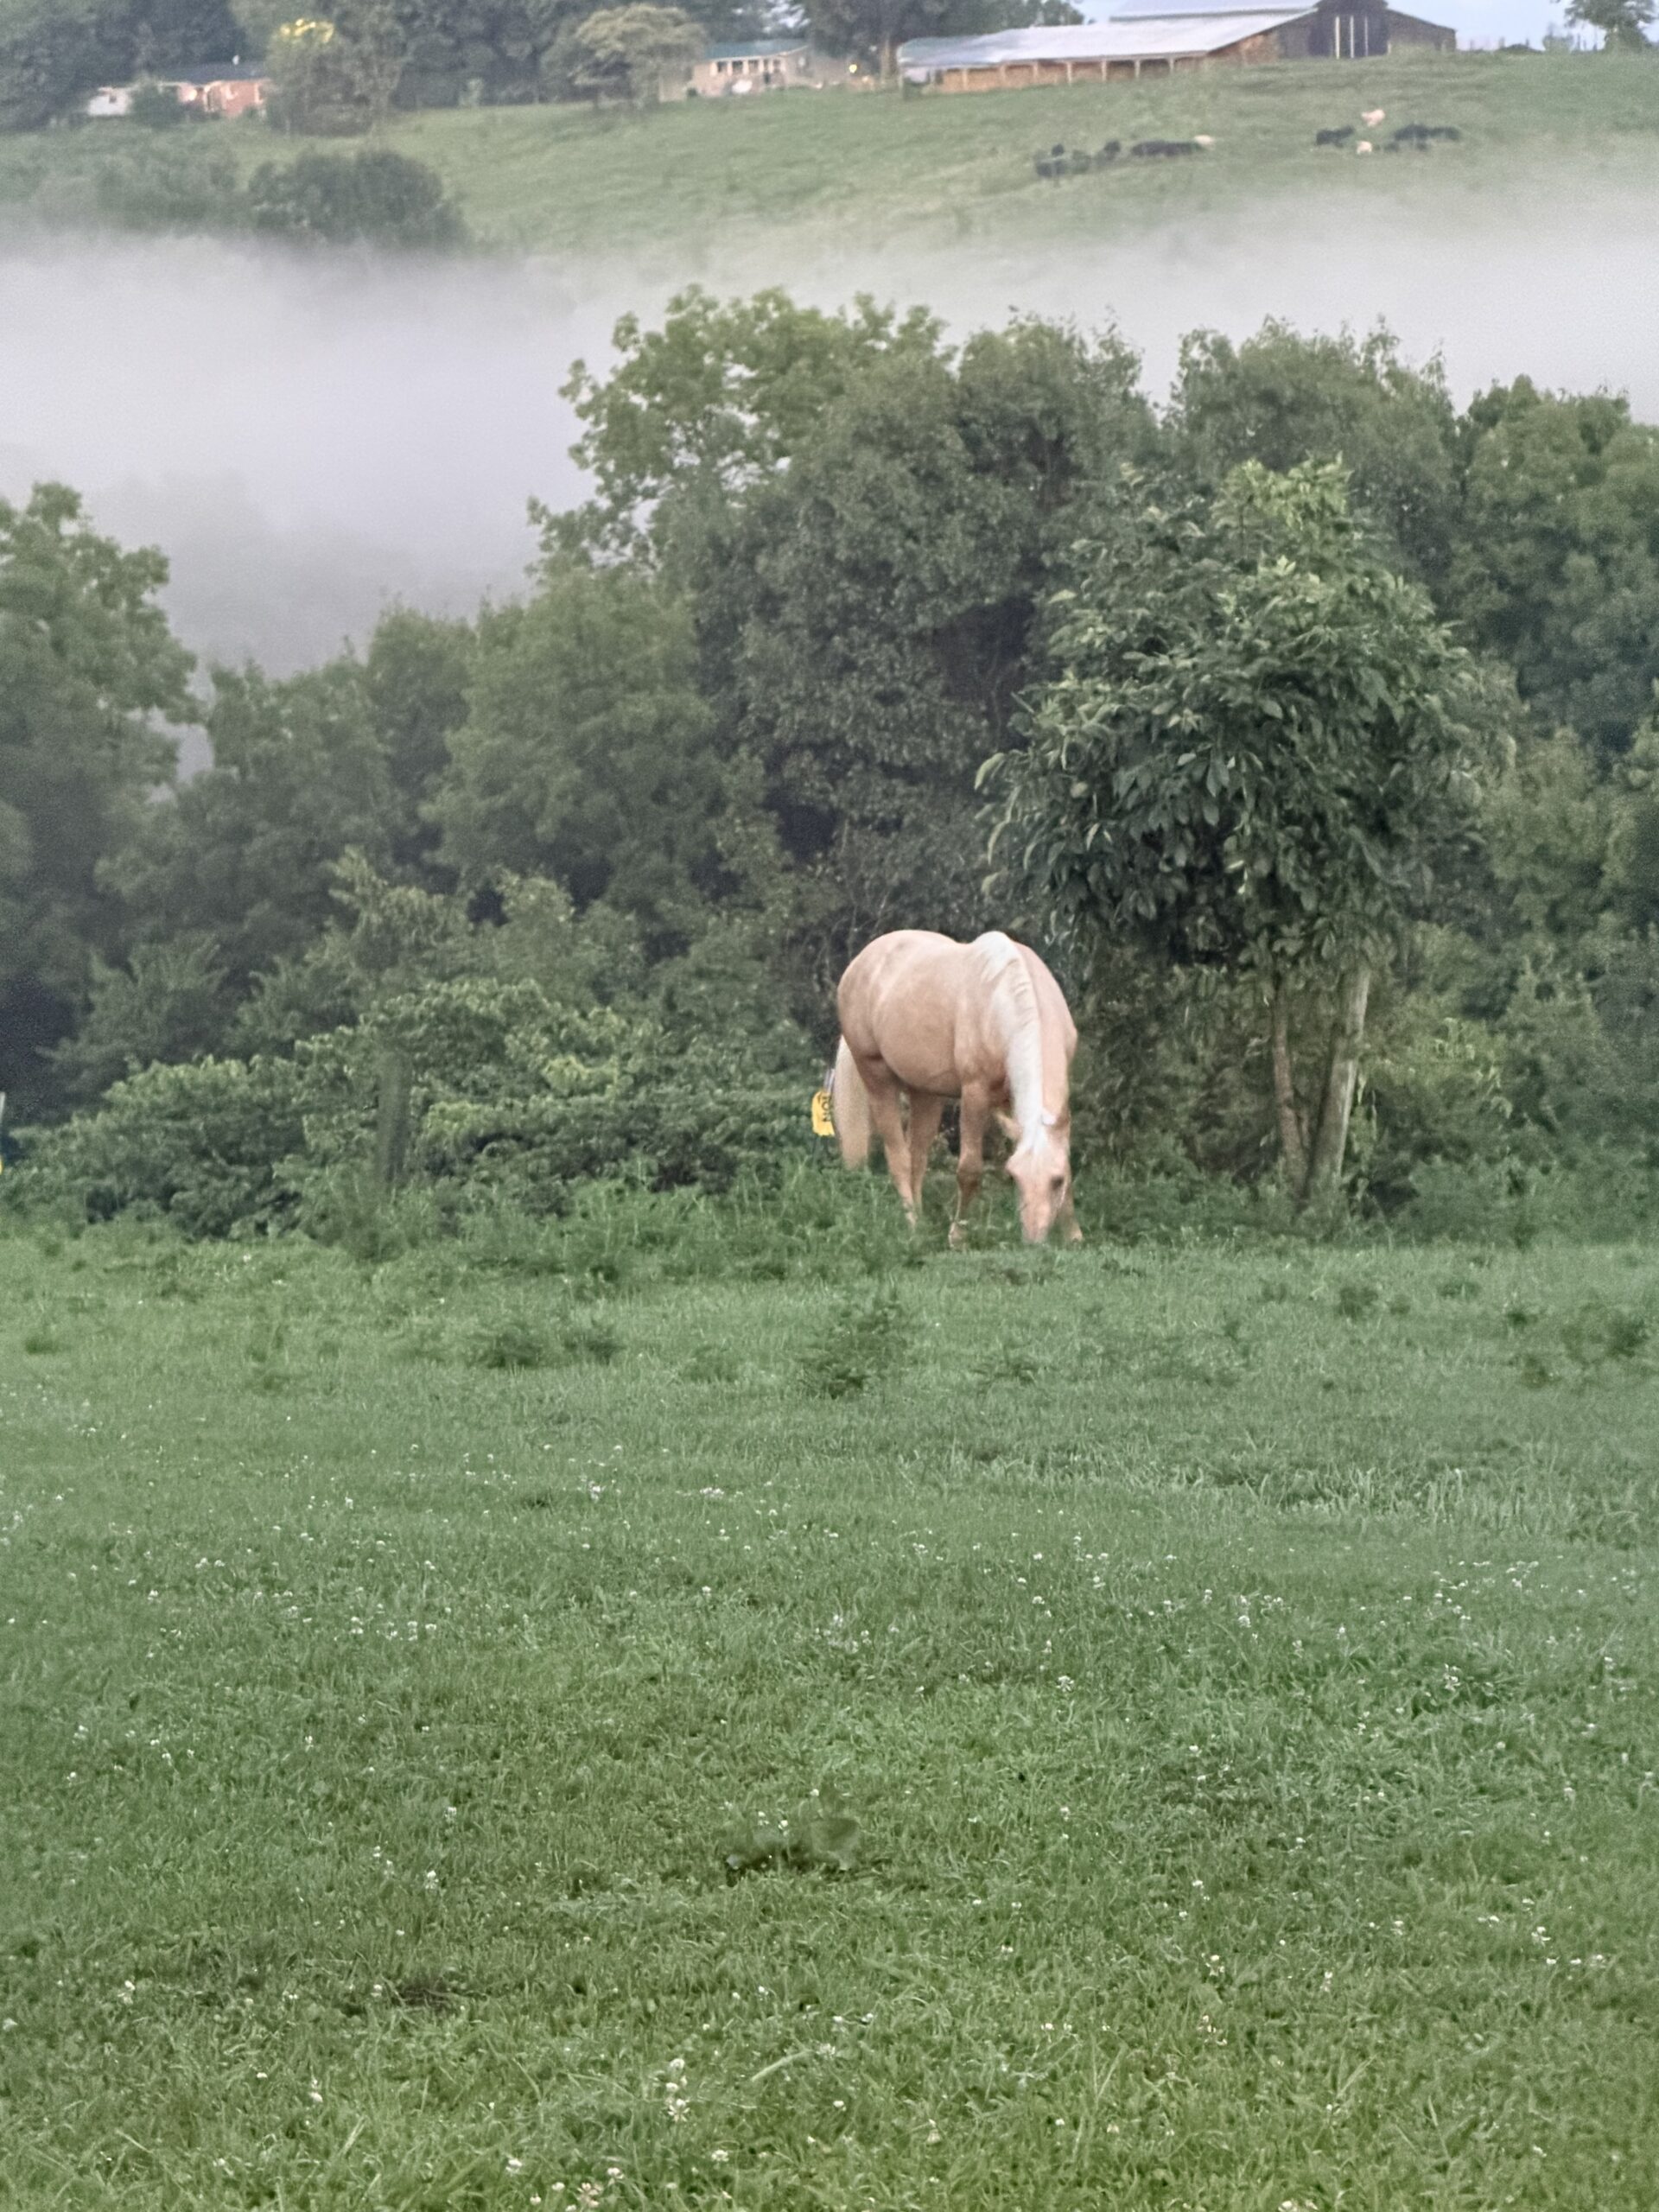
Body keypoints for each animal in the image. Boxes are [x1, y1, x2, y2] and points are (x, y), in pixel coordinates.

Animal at [831, 929, 1081, 1246]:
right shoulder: (974, 1095)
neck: (1002, 999)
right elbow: (969, 1170)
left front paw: (1074, 1235)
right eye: (1014, 1177)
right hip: (877, 1079)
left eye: (1056, 1180)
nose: (1033, 1241)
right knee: (899, 1159)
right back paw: (913, 1227)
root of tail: (859, 965)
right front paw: (958, 1237)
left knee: (917, 1158)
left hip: (925, 1094)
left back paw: (923, 1222)